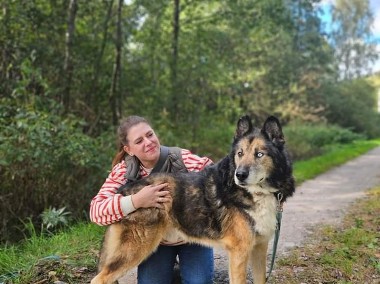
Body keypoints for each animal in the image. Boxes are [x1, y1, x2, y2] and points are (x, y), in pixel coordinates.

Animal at [90, 115, 296, 284]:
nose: (240, 175)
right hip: (135, 250)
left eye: (259, 154)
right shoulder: (239, 253)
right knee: (99, 279)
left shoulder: (259, 248)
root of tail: (124, 191)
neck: (256, 193)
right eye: (240, 153)